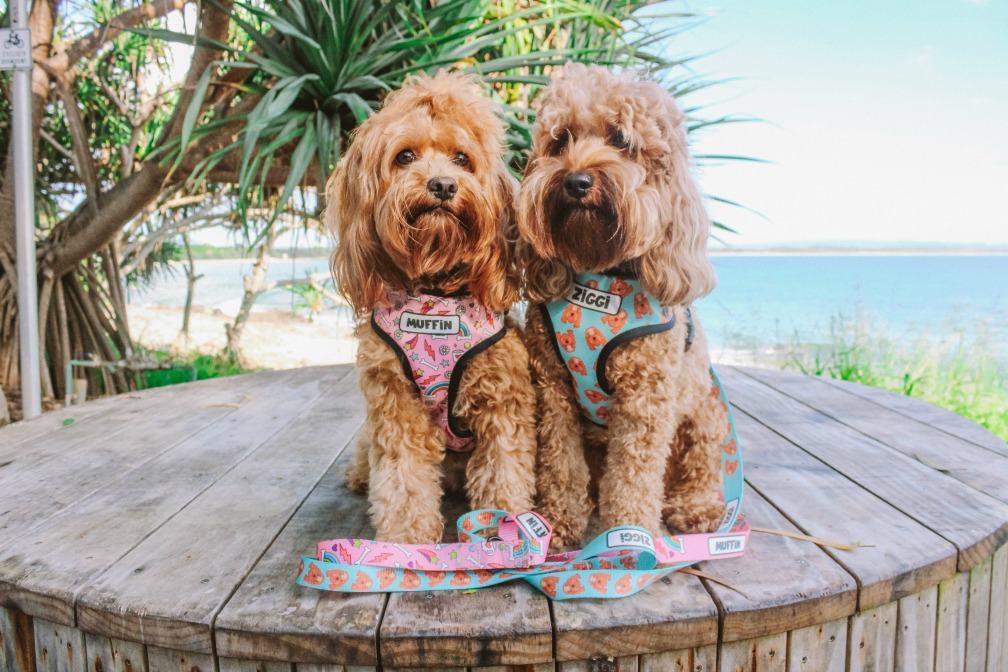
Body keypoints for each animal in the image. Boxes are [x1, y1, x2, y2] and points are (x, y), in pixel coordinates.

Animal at [328, 72, 536, 548]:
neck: (436, 297)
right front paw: (406, 542)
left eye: (462, 159)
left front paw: (504, 531)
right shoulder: (395, 403)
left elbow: (503, 470)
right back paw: (358, 475)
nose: (443, 184)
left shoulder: (501, 399)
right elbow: (404, 479)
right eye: (404, 156)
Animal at [520, 62, 725, 548]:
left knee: (699, 470)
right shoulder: (554, 390)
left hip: (705, 416)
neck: (601, 276)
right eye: (561, 140)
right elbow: (561, 464)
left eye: (621, 140)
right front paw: (558, 521)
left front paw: (628, 534)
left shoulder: (644, 401)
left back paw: (696, 507)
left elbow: (633, 476)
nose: (576, 181)